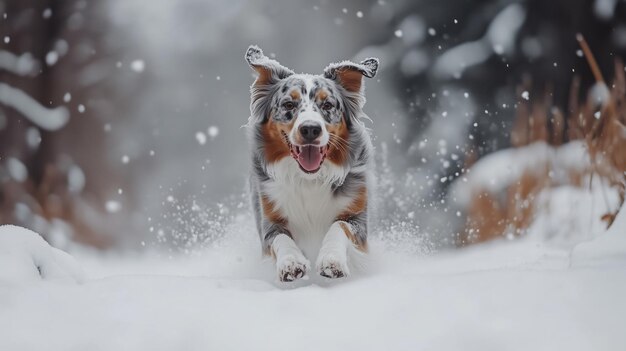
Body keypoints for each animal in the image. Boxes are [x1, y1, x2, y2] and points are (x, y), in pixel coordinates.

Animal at [245, 46, 378, 284]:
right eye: (289, 104)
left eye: (327, 105)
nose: (310, 129)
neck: (308, 178)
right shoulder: (269, 218)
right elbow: (281, 239)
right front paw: (291, 263)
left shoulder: (357, 216)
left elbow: (338, 226)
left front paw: (332, 261)